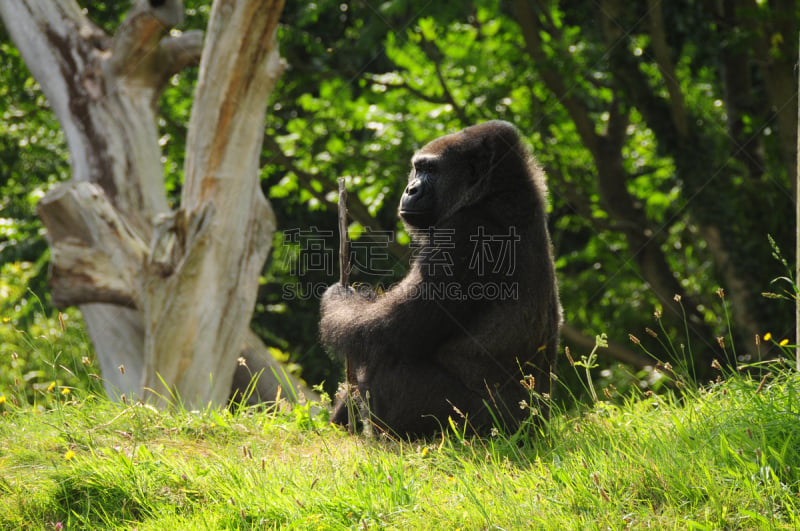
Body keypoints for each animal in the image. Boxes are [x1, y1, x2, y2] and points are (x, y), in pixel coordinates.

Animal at [320, 122, 564, 438]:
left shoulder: (463, 234)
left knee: (384, 356)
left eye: (431, 170)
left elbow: (383, 331)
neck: (499, 192)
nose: (410, 189)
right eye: (418, 169)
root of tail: (537, 426)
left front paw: (339, 297)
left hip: (482, 429)